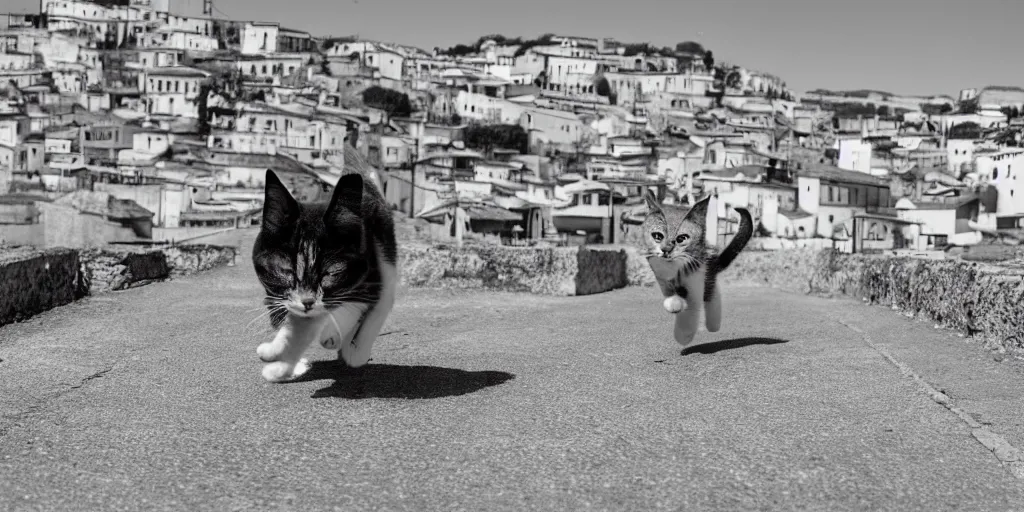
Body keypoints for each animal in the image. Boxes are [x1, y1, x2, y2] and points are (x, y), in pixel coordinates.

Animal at [251, 169, 399, 382]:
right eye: (286, 270)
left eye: (331, 273)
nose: (307, 302)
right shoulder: (273, 292)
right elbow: (292, 323)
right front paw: (282, 362)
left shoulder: (368, 276)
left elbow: (351, 305)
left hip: (384, 251)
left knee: (382, 303)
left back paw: (354, 348)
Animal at [638, 192, 753, 348]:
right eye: (657, 236)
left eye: (681, 238)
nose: (665, 250)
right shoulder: (659, 272)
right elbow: (669, 292)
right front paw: (673, 303)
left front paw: (684, 334)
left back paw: (712, 323)